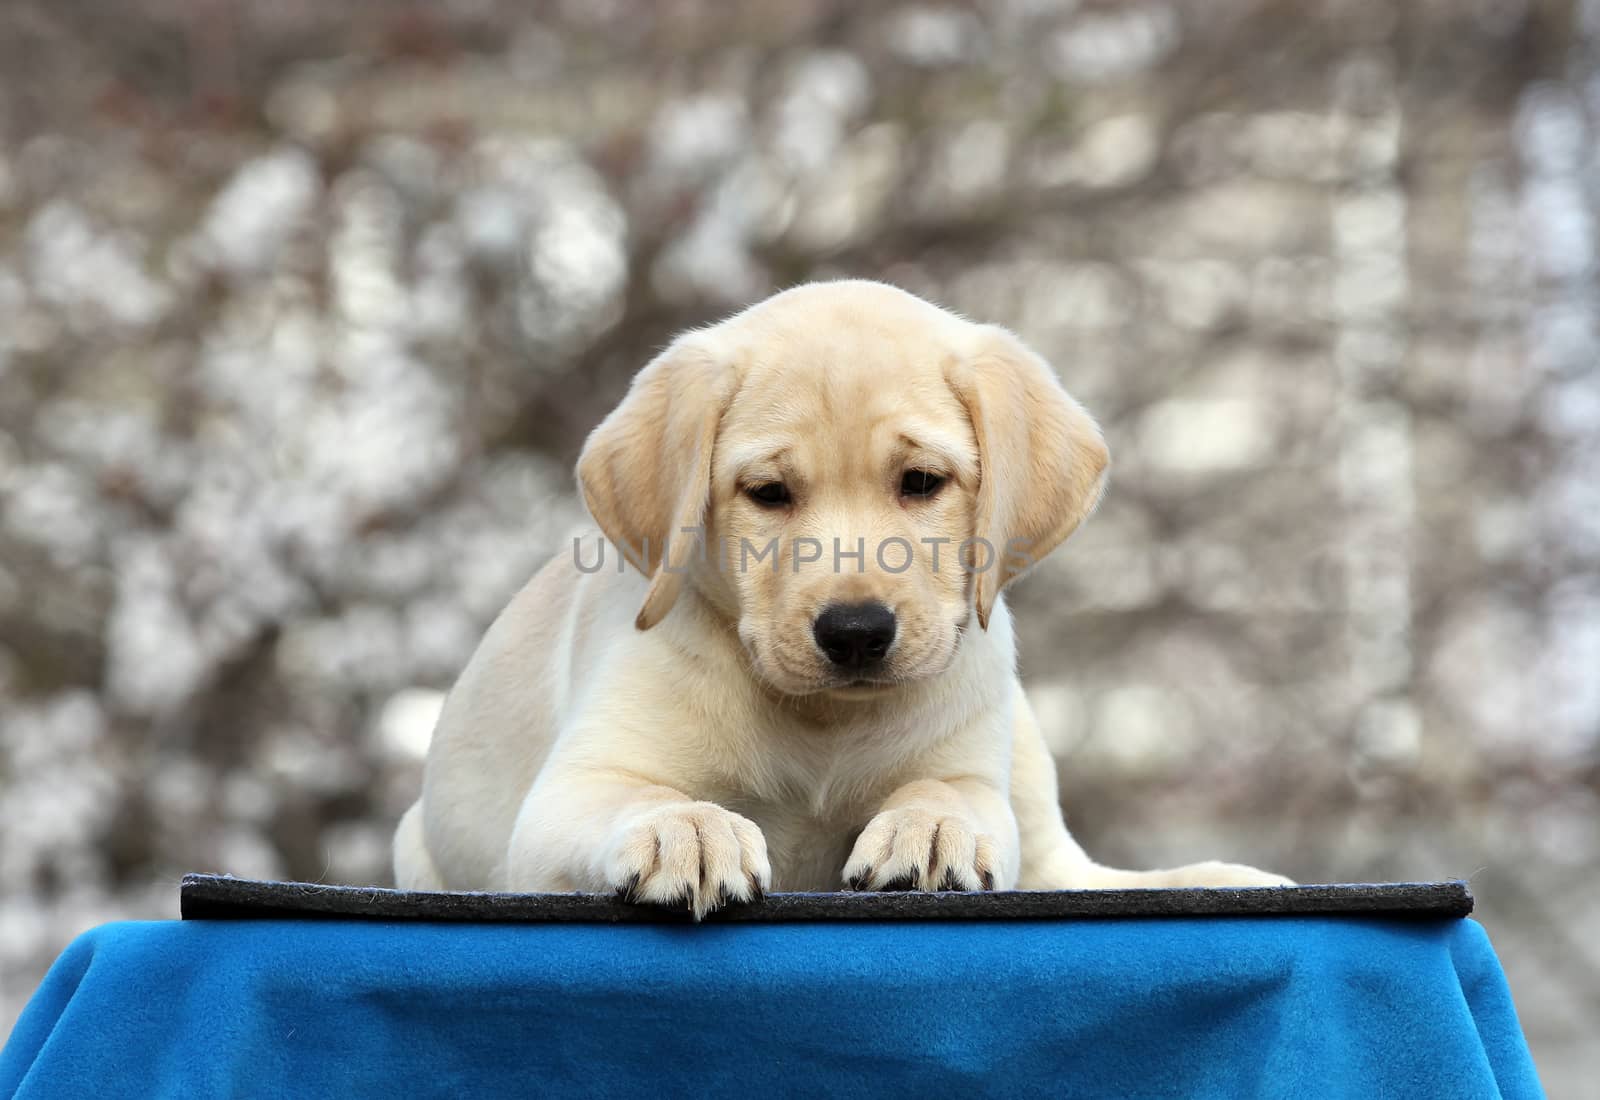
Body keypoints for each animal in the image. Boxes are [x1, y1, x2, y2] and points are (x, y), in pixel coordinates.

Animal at [393, 279, 1292, 914]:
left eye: (921, 482)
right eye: (768, 493)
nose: (855, 632)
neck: (825, 726)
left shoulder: (973, 771)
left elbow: (948, 792)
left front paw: (930, 827)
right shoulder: (568, 793)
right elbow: (642, 794)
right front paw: (689, 826)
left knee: (1071, 869)